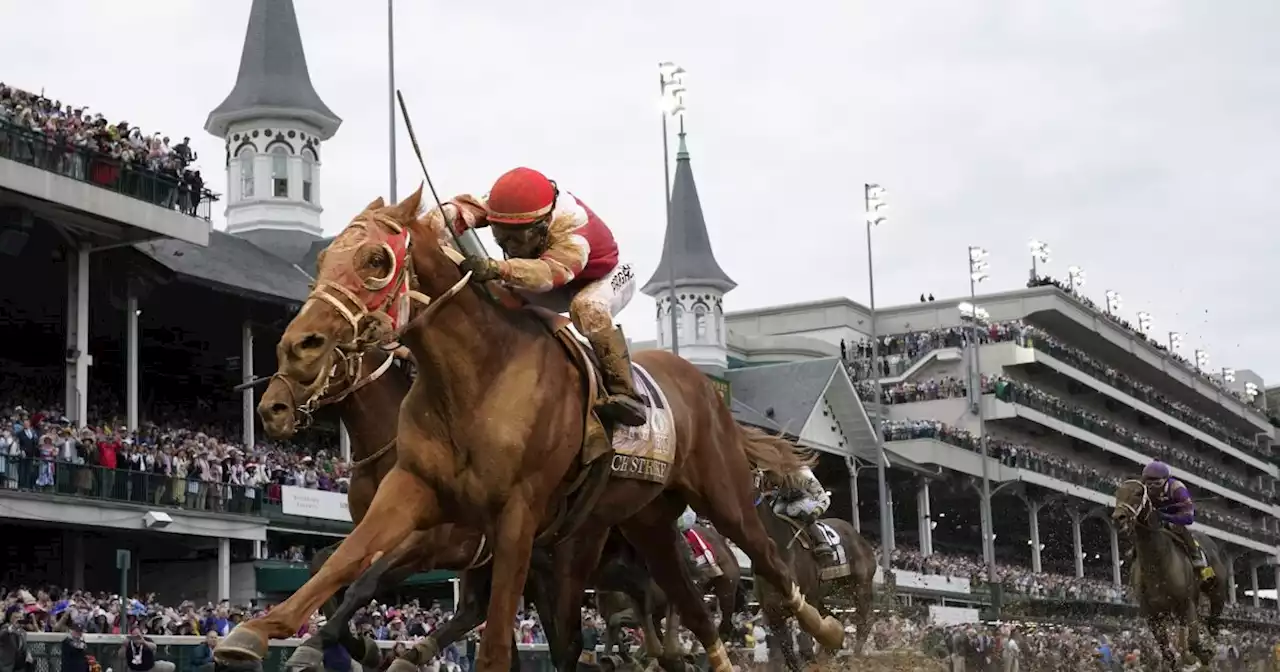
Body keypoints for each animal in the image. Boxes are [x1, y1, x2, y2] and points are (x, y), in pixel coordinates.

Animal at [215, 186, 844, 670]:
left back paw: (830, 631)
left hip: (721, 496)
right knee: (688, 609)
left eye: (377, 260)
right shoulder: (415, 493)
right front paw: (266, 633)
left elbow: (482, 636)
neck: (475, 380)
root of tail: (704, 385)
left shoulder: (506, 519)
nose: (292, 358)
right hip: (647, 525)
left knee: (766, 562)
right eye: (325, 261)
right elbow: (343, 563)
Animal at [752, 488, 875, 665]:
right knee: (834, 618)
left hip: (860, 585)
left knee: (865, 620)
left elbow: (805, 646)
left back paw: (854, 656)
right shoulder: (773, 612)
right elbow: (787, 653)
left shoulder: (805, 601)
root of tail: (858, 535)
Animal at [1116, 476, 1223, 665]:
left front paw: (1204, 655)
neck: (1157, 565)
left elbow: (1194, 641)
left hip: (1216, 592)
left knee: (1214, 621)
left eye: (1138, 492)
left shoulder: (1187, 602)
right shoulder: (1152, 614)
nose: (1118, 518)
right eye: (1117, 493)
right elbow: (1167, 653)